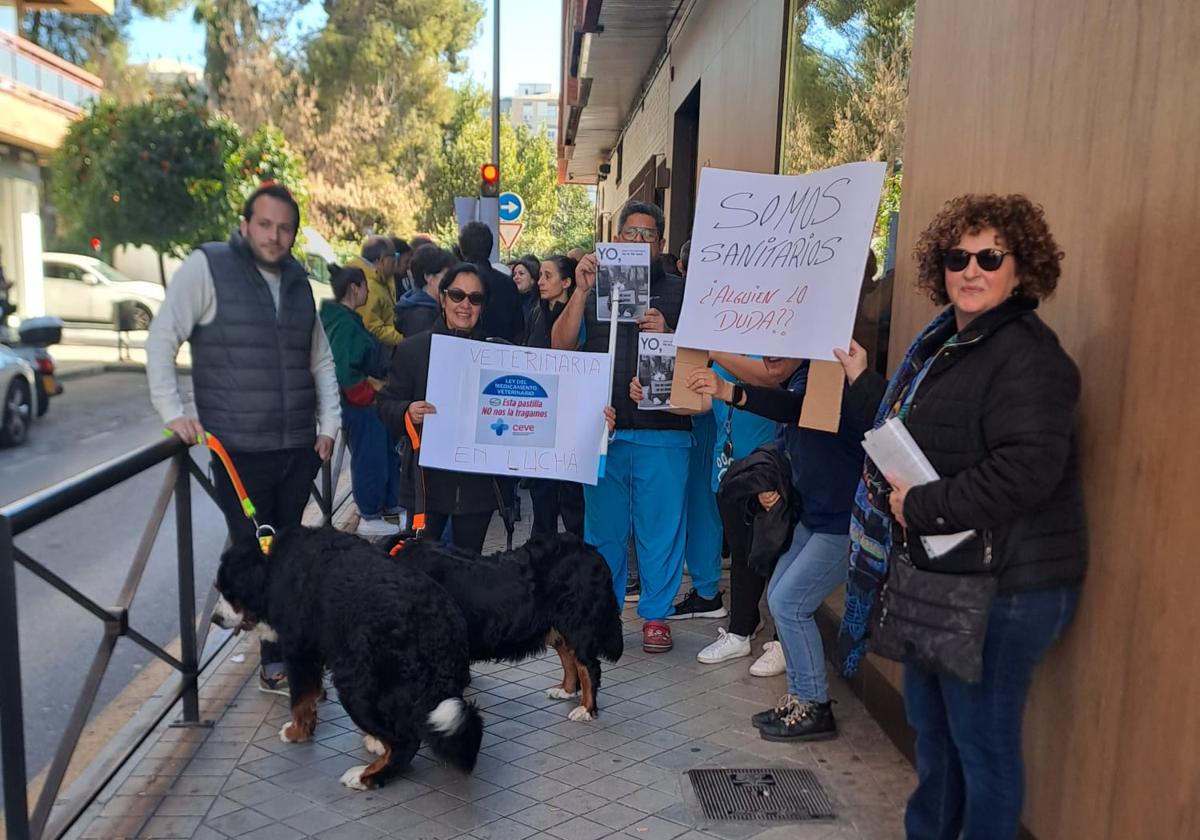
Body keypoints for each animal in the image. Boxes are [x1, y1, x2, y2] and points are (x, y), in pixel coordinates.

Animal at [211, 528, 482, 792]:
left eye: (227, 591)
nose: (214, 618)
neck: (273, 566)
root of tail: (441, 631)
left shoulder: (299, 651)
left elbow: (299, 699)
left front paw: (296, 731)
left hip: (354, 682)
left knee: (405, 743)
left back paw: (365, 776)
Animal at [388, 530, 624, 720]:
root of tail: (591, 553)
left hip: (577, 625)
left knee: (588, 666)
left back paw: (586, 709)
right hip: (557, 626)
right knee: (569, 657)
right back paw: (566, 690)